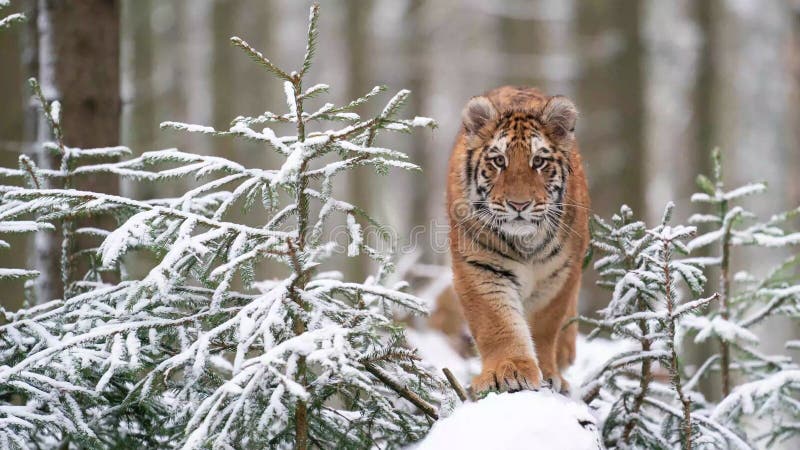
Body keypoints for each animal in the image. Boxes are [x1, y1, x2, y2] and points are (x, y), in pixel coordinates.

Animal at [446, 85, 592, 394]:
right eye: (499, 161)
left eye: (538, 161)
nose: (519, 204)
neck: (526, 243)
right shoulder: (479, 266)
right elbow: (497, 323)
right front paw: (509, 369)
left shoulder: (560, 274)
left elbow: (545, 326)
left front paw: (548, 373)